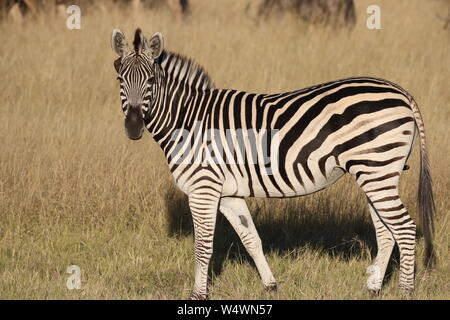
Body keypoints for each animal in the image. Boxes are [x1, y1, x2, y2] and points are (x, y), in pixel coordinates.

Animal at [110, 28, 436, 300]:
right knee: (386, 230)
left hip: (376, 169)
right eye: (120, 80)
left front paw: (198, 295)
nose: (134, 127)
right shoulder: (228, 193)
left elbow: (203, 246)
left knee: (404, 228)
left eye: (151, 81)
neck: (188, 120)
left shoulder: (203, 188)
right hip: (375, 171)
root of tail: (401, 92)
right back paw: (373, 287)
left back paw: (406, 291)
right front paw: (270, 285)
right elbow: (251, 238)